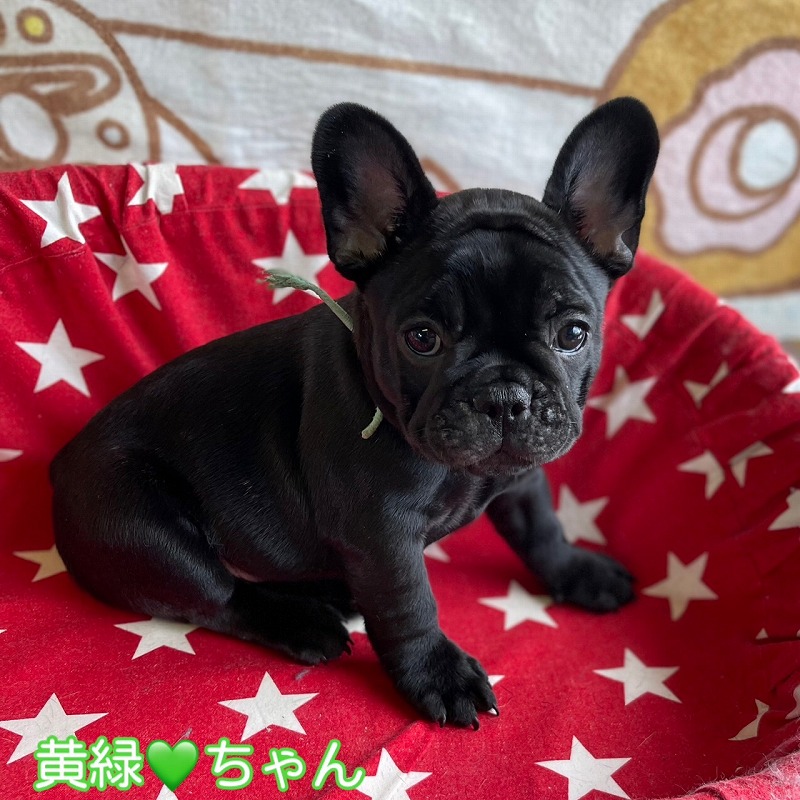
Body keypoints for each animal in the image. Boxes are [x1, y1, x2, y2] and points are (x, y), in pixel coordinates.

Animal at [51, 98, 659, 728]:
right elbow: (409, 604)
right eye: (423, 338)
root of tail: (59, 468)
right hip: (144, 526)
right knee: (220, 594)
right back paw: (302, 621)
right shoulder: (382, 535)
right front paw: (438, 675)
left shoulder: (522, 477)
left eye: (572, 334)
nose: (504, 396)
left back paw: (330, 590)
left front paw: (578, 573)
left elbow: (542, 529)